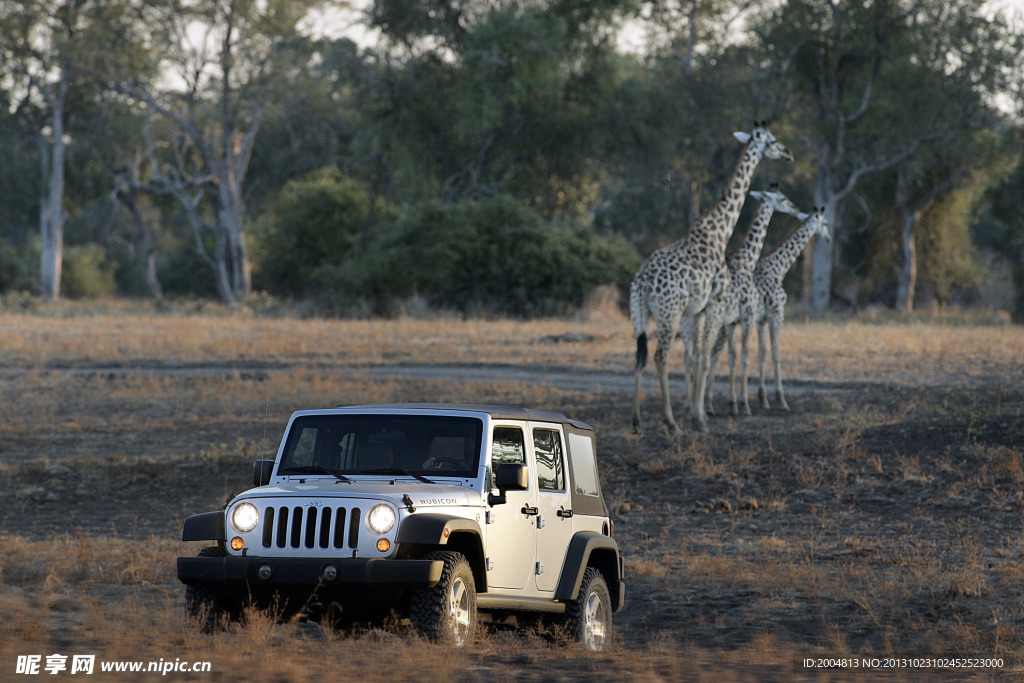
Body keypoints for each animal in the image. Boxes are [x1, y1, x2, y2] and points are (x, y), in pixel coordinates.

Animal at [630, 122, 790, 432]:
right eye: (773, 140)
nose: (788, 152)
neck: (718, 232)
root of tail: (641, 280)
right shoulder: (714, 304)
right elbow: (704, 359)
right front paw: (699, 417)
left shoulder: (698, 311)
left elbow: (697, 357)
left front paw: (699, 411)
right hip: (669, 314)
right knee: (660, 357)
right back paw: (670, 422)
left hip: (641, 313)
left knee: (640, 356)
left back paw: (637, 420)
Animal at [708, 184, 802, 417]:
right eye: (782, 198)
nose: (796, 208)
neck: (746, 261)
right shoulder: (753, 315)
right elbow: (748, 356)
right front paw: (745, 404)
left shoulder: (736, 321)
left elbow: (736, 356)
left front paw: (735, 403)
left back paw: (705, 405)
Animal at [753, 205, 831, 411]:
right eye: (826, 223)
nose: (829, 238)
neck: (778, 268)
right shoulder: (777, 314)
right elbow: (776, 355)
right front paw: (781, 400)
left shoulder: (761, 320)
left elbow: (762, 354)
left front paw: (763, 399)